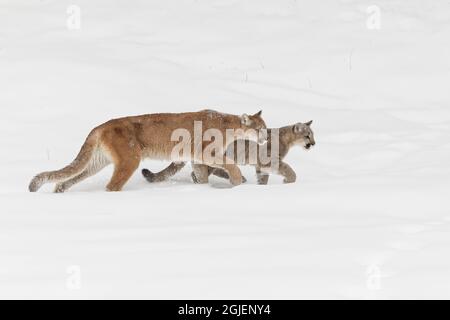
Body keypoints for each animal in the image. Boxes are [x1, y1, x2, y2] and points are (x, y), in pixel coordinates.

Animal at [29, 109, 268, 192]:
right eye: (260, 129)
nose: (266, 137)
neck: (229, 125)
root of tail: (101, 126)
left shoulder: (197, 158)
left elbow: (201, 175)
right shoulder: (204, 152)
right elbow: (231, 164)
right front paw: (237, 181)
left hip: (96, 162)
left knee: (67, 178)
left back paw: (59, 192)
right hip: (130, 159)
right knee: (111, 186)